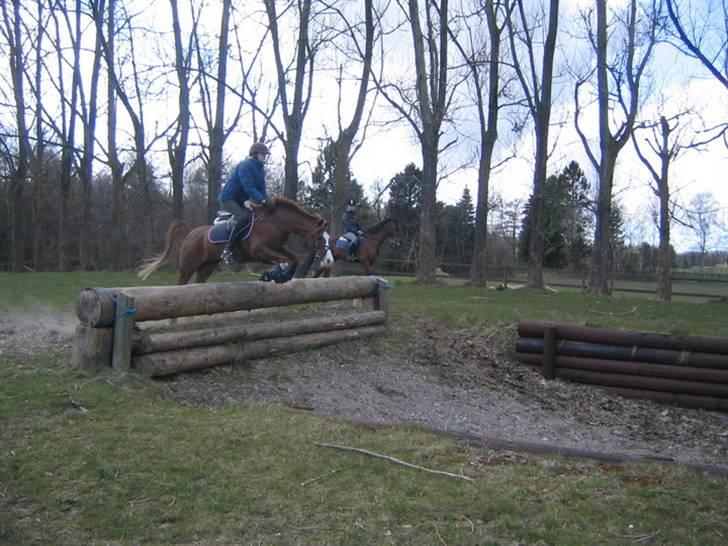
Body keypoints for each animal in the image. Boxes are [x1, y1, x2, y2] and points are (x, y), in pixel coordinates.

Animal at [137, 198, 330, 286]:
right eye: (320, 237)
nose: (328, 260)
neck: (275, 221)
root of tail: (190, 232)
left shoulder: (276, 248)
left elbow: (293, 258)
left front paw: (281, 276)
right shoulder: (259, 251)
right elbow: (284, 260)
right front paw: (276, 275)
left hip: (207, 266)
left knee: (199, 283)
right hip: (188, 266)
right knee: (181, 284)